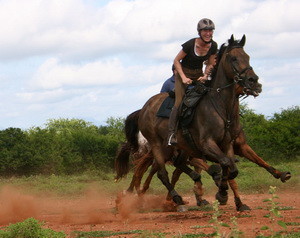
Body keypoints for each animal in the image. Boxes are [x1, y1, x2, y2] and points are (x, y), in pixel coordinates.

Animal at [116, 34, 264, 208]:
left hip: (176, 148)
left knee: (169, 168)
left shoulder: (226, 144)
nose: (254, 81)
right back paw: (173, 198)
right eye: (233, 58)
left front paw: (223, 192)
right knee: (160, 173)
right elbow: (225, 163)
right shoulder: (207, 144)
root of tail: (144, 108)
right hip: (157, 146)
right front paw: (221, 192)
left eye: (247, 57)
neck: (218, 105)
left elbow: (231, 168)